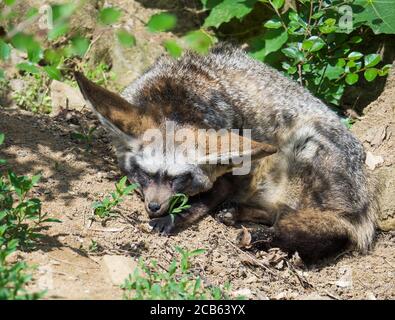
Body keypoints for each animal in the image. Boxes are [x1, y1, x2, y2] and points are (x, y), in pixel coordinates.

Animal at [75, 43, 380, 262]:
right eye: (145, 174)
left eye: (179, 179)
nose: (154, 207)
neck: (175, 96)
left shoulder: (235, 173)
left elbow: (202, 202)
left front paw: (171, 220)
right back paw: (238, 214)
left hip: (303, 145)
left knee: (311, 224)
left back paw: (258, 234)